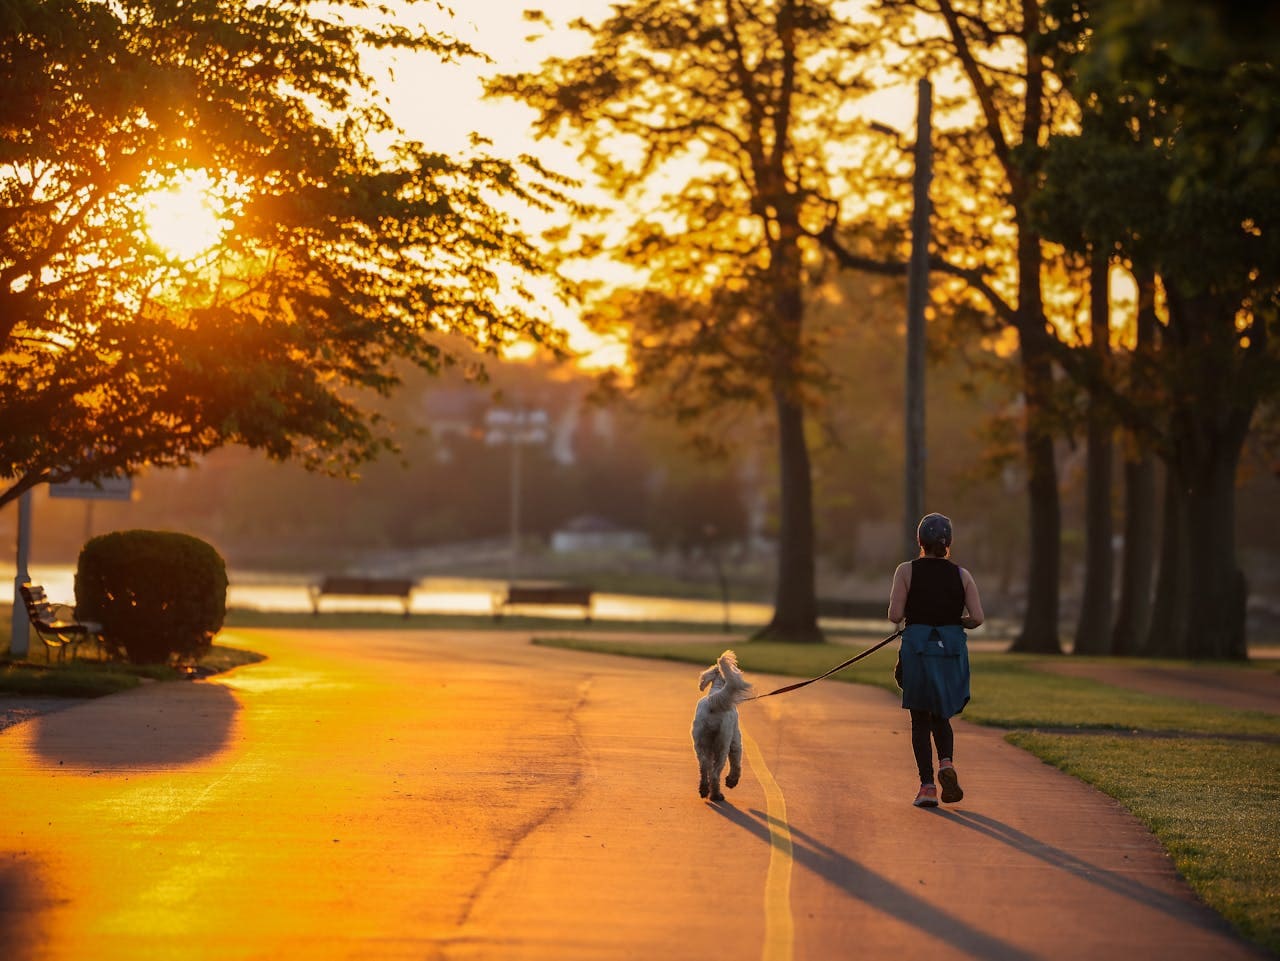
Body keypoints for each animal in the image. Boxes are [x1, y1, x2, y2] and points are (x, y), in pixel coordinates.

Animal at [696, 650, 752, 798]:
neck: (718, 689)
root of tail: (712, 702)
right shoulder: (736, 740)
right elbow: (736, 762)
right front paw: (732, 780)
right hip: (723, 744)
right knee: (715, 773)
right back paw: (716, 794)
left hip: (700, 744)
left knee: (704, 767)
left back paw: (704, 789)